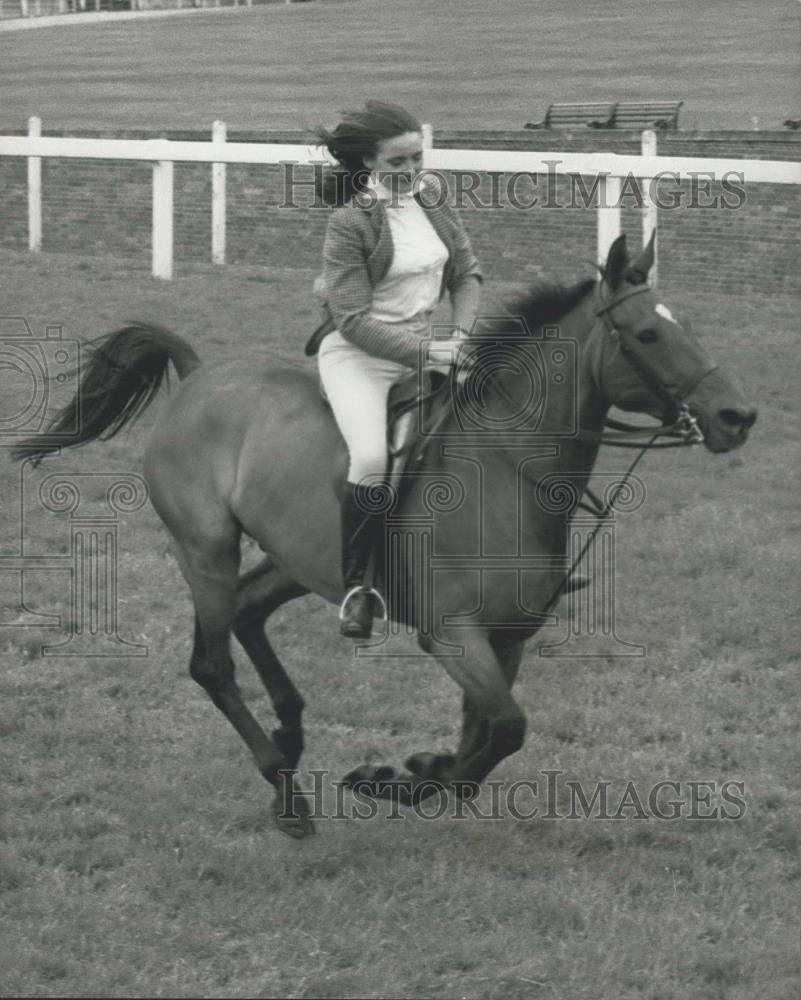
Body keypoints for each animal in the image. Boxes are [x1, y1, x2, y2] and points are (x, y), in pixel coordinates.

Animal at [12, 236, 752, 836]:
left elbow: (486, 737)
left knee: (251, 611)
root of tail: (198, 376)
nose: (735, 416)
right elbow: (503, 731)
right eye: (646, 335)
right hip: (206, 549)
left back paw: (290, 736)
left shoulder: (506, 640)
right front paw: (394, 779)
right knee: (212, 663)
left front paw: (417, 770)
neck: (507, 467)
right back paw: (285, 788)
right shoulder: (452, 636)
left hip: (300, 559)